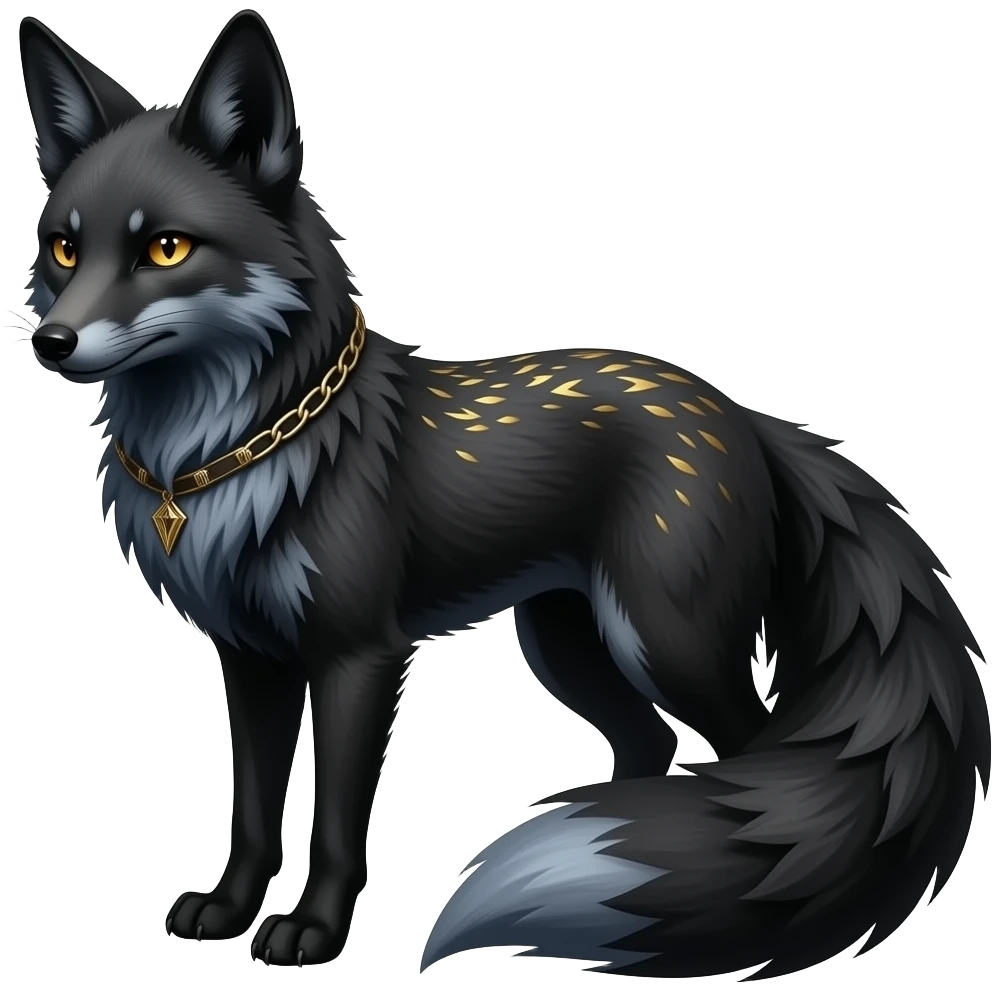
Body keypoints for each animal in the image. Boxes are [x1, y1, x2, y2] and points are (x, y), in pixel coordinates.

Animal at [15, 8, 990, 978]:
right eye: (65, 247)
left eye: (165, 247)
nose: (50, 342)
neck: (226, 460)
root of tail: (743, 415)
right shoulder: (251, 658)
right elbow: (252, 812)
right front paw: (228, 909)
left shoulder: (359, 657)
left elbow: (335, 826)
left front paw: (314, 932)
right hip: (567, 643)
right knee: (653, 746)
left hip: (665, 641)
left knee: (750, 762)